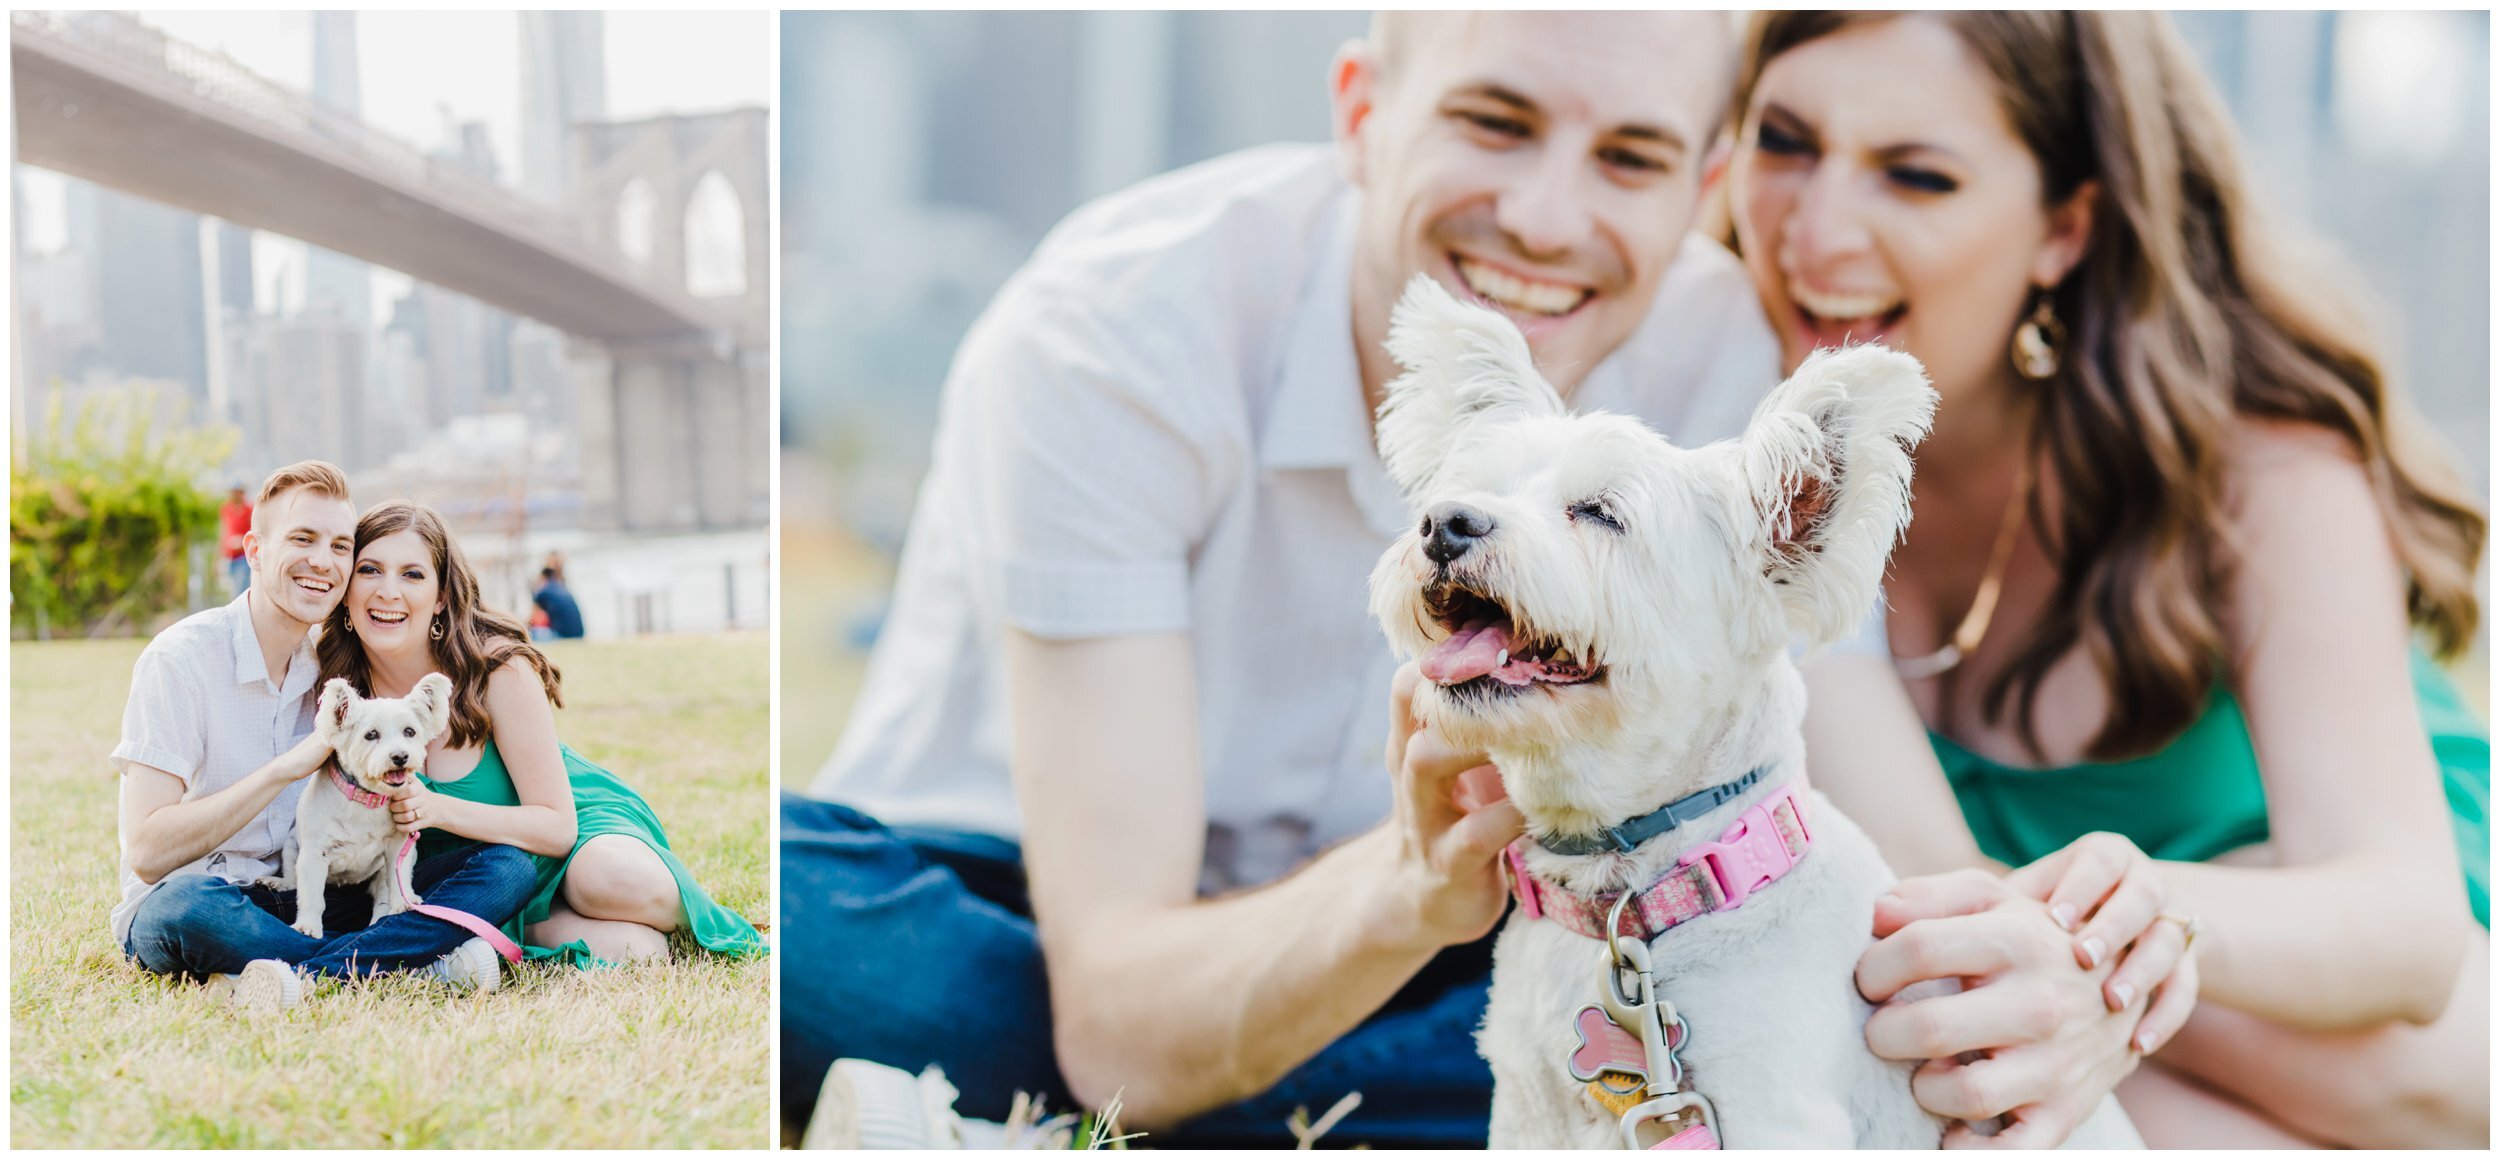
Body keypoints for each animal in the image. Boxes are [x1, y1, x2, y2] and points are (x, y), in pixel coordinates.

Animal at [266, 675, 457, 940]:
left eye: (410, 731)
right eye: (371, 735)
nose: (400, 756)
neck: (365, 800)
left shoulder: (398, 848)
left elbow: (396, 881)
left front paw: (401, 904)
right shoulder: (314, 854)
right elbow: (312, 897)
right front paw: (308, 925)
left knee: (383, 897)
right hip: (291, 845)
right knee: (293, 878)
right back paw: (279, 882)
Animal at [1370, 273, 2130, 1150]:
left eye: (1599, 513)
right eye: (1469, 488)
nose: (1445, 524)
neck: (1636, 902)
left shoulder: (1771, 1112)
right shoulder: (1528, 1118)